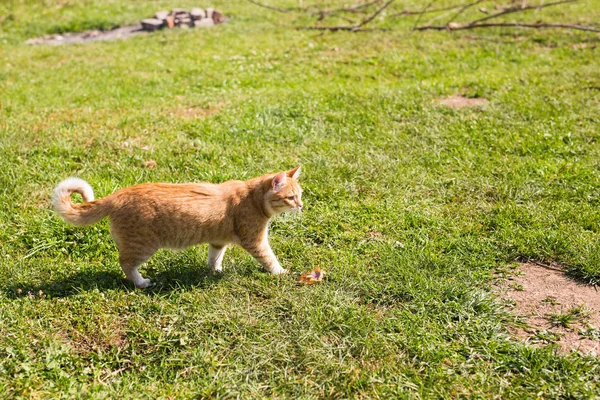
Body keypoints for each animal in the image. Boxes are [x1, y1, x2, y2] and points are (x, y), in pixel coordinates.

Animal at [53, 167, 302, 290]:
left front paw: (215, 271)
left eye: (300, 195)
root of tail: (117, 194)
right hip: (143, 247)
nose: (301, 206)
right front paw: (281, 272)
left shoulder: (217, 241)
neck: (253, 198)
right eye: (290, 197)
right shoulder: (255, 241)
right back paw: (141, 283)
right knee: (125, 263)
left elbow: (215, 257)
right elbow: (269, 259)